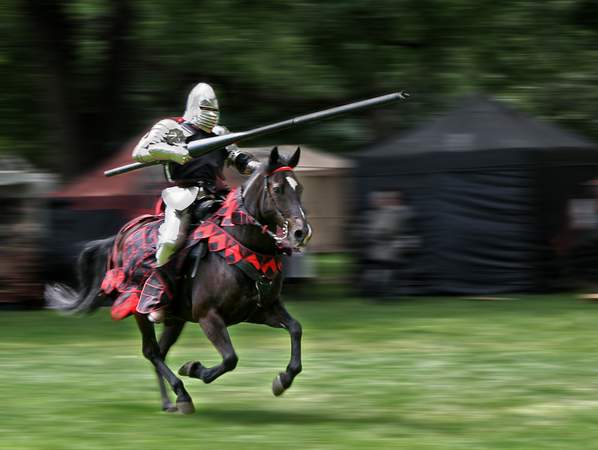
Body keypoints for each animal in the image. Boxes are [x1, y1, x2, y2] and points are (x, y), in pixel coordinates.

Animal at [44, 148, 312, 414]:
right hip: (140, 310)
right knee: (151, 351)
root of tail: (119, 238)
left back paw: (169, 401)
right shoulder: (209, 317)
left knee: (160, 352)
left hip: (176, 319)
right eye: (277, 188)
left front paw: (283, 379)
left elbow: (296, 328)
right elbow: (230, 359)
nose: (301, 232)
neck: (242, 246)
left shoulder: (260, 310)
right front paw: (193, 368)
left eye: (299, 188)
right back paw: (181, 395)